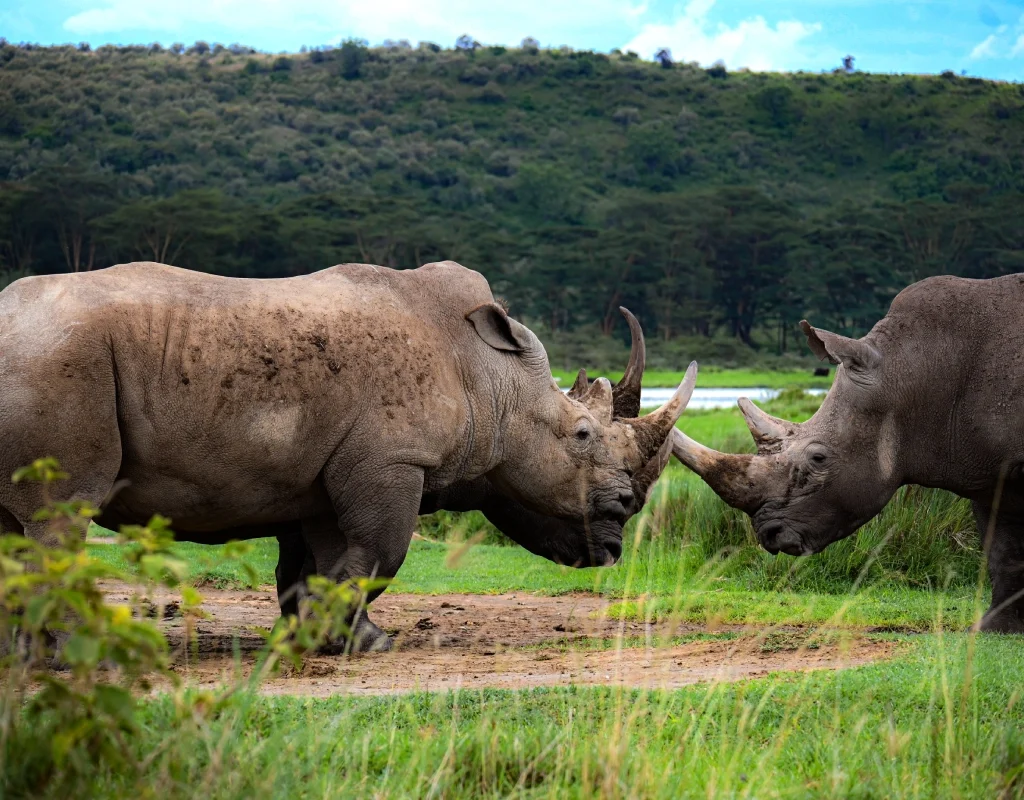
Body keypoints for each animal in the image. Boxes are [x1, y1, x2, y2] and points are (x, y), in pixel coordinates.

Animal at [0, 260, 695, 650]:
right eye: (581, 436)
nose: (621, 518)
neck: (490, 377)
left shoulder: (317, 475)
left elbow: (315, 563)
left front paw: (309, 637)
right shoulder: (393, 461)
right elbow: (379, 554)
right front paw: (364, 643)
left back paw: (27, 656)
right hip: (59, 361)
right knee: (61, 515)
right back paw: (69, 649)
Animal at [673, 274, 1024, 633]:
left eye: (818, 459)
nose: (769, 535)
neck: (916, 372)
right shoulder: (985, 470)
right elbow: (1002, 550)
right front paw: (995, 629)